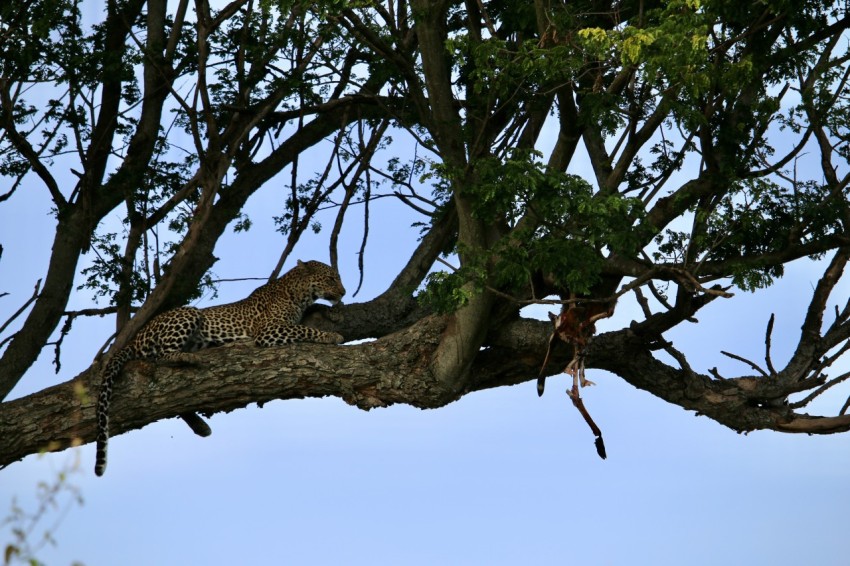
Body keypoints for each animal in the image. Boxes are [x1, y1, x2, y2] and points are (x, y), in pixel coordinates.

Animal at [94, 259, 346, 476]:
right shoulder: (268, 330)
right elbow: (305, 330)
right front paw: (332, 336)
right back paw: (189, 358)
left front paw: (327, 310)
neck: (297, 294)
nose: (343, 292)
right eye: (331, 278)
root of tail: (135, 337)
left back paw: (200, 425)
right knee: (162, 358)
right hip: (189, 312)